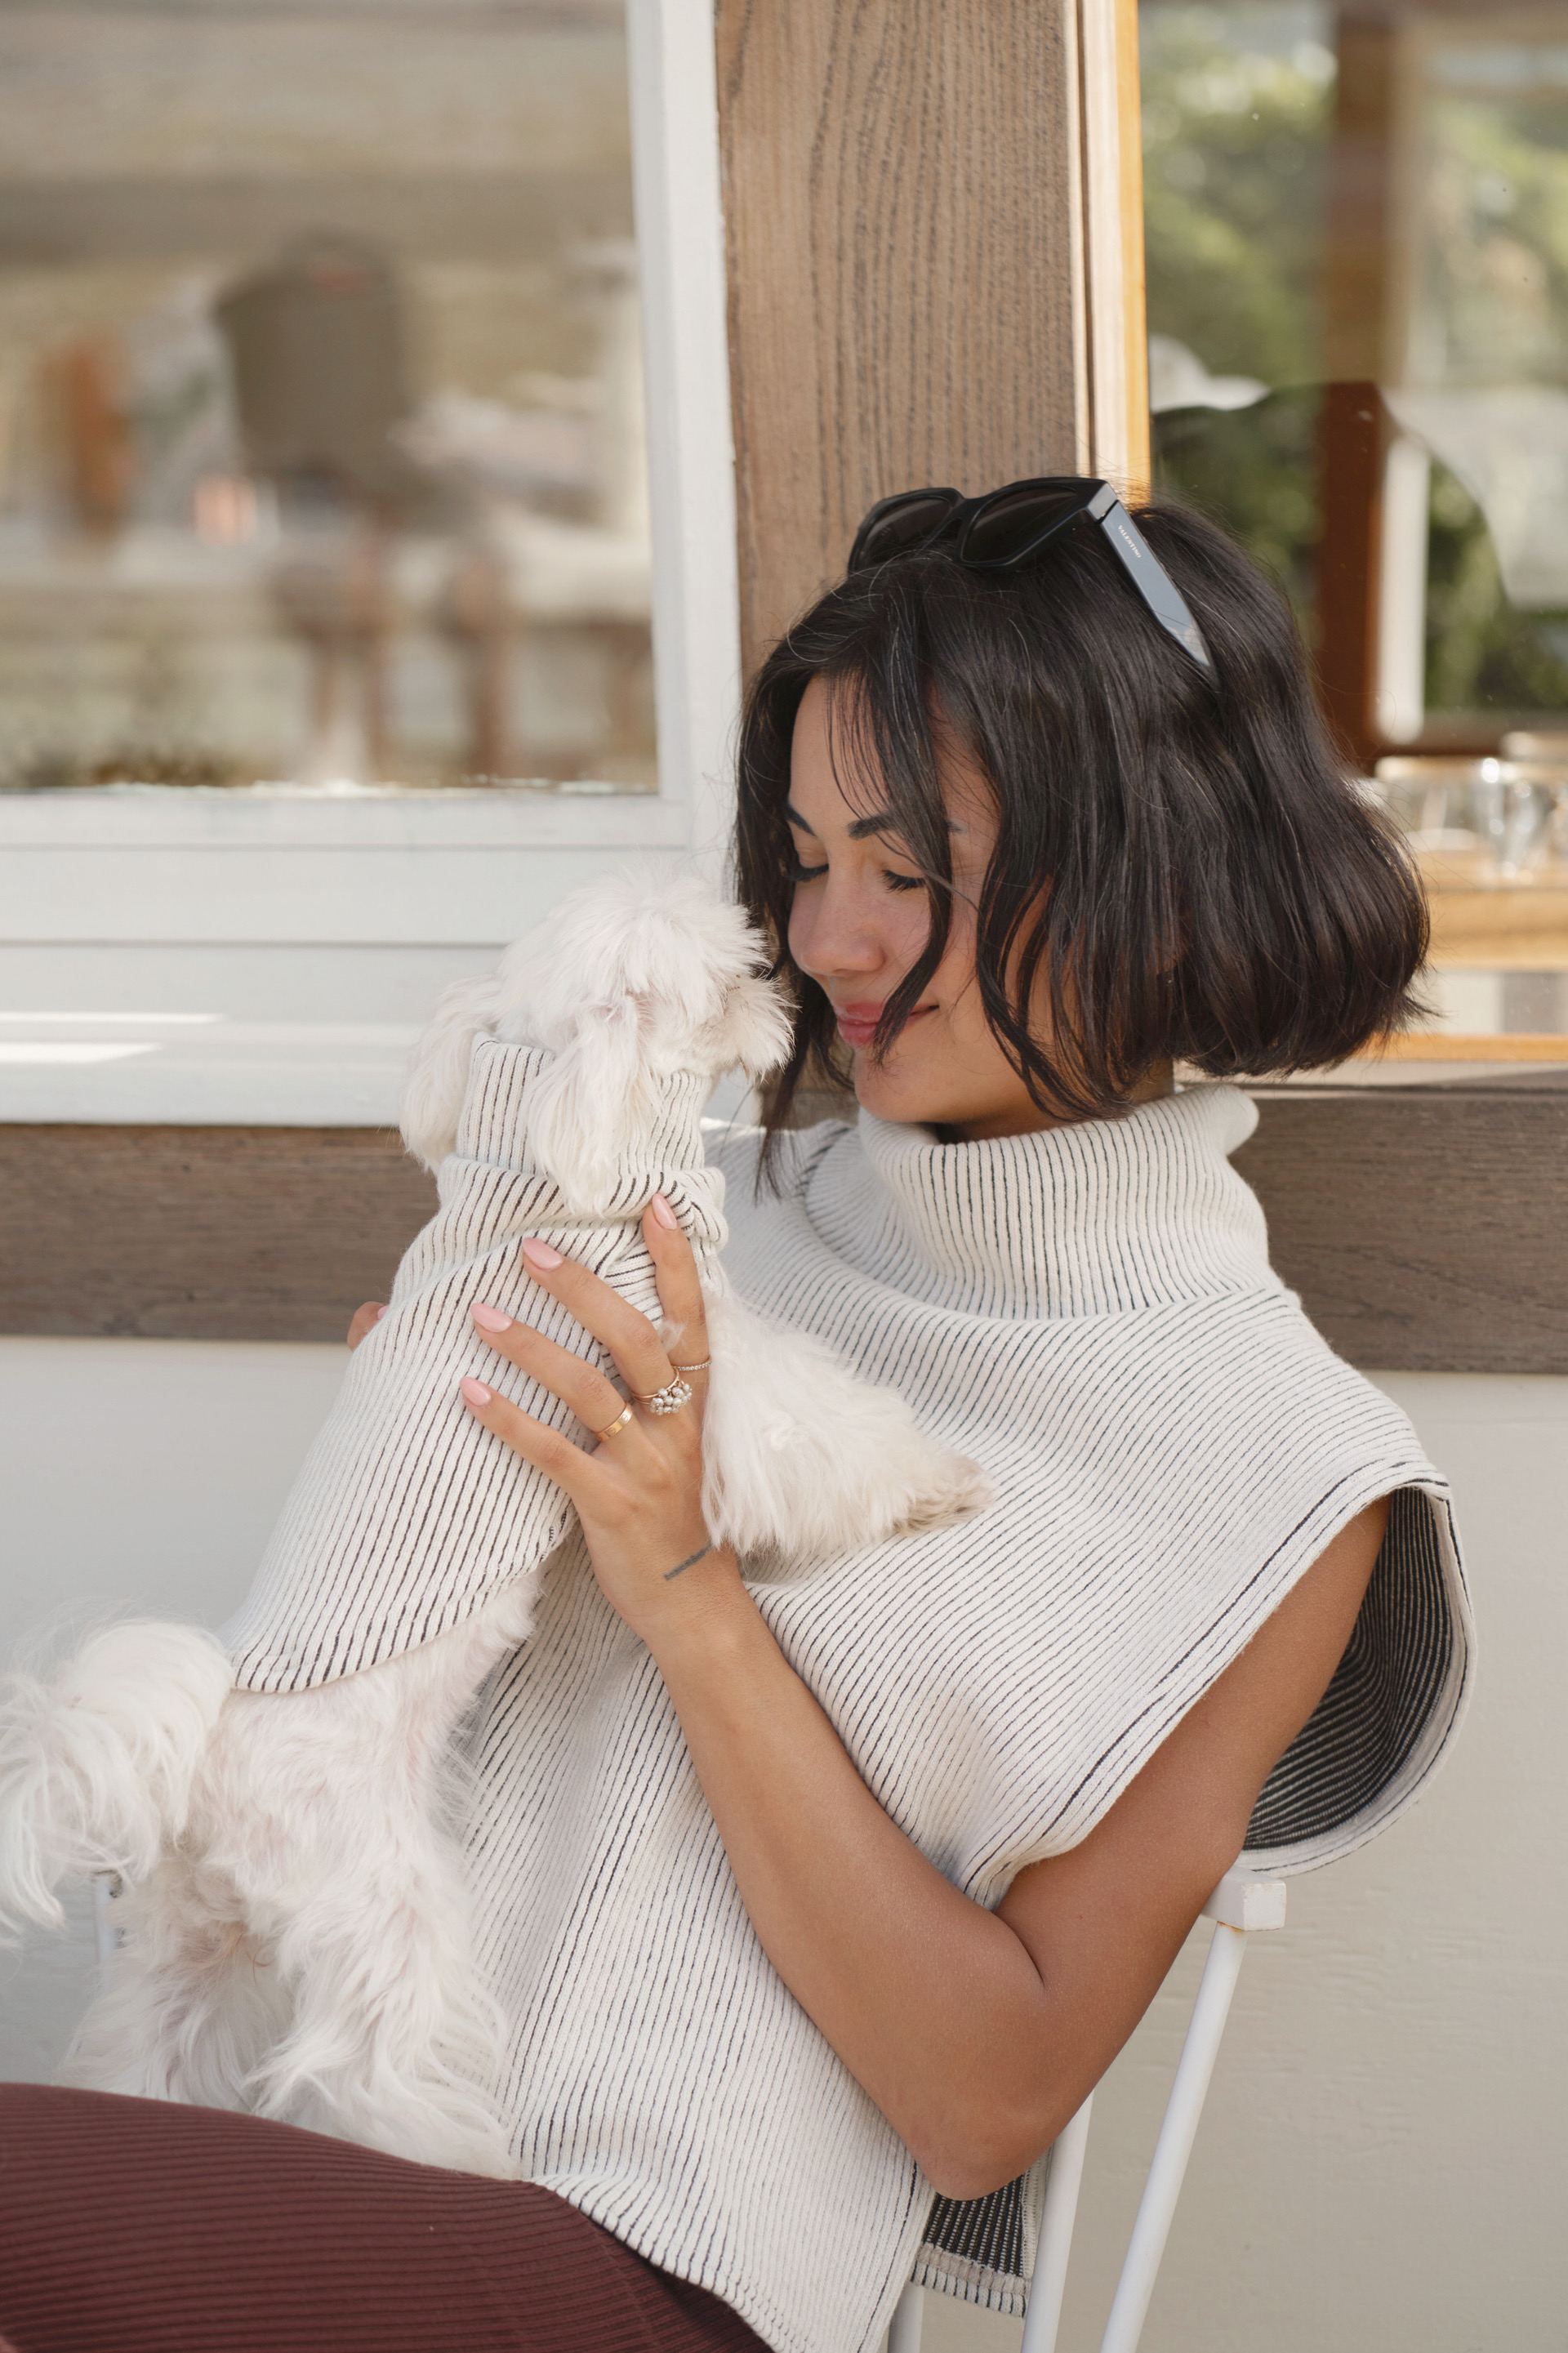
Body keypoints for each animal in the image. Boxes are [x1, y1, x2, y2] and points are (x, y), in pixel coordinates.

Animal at [0, 875, 988, 2174]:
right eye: (735, 973)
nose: (785, 987)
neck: (551, 1143)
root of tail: (205, 1751)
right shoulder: (699, 1350)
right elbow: (821, 1430)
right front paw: (934, 1482)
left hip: (188, 1950)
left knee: (142, 2054)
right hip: (377, 1904)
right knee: (381, 2062)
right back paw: (459, 2156)